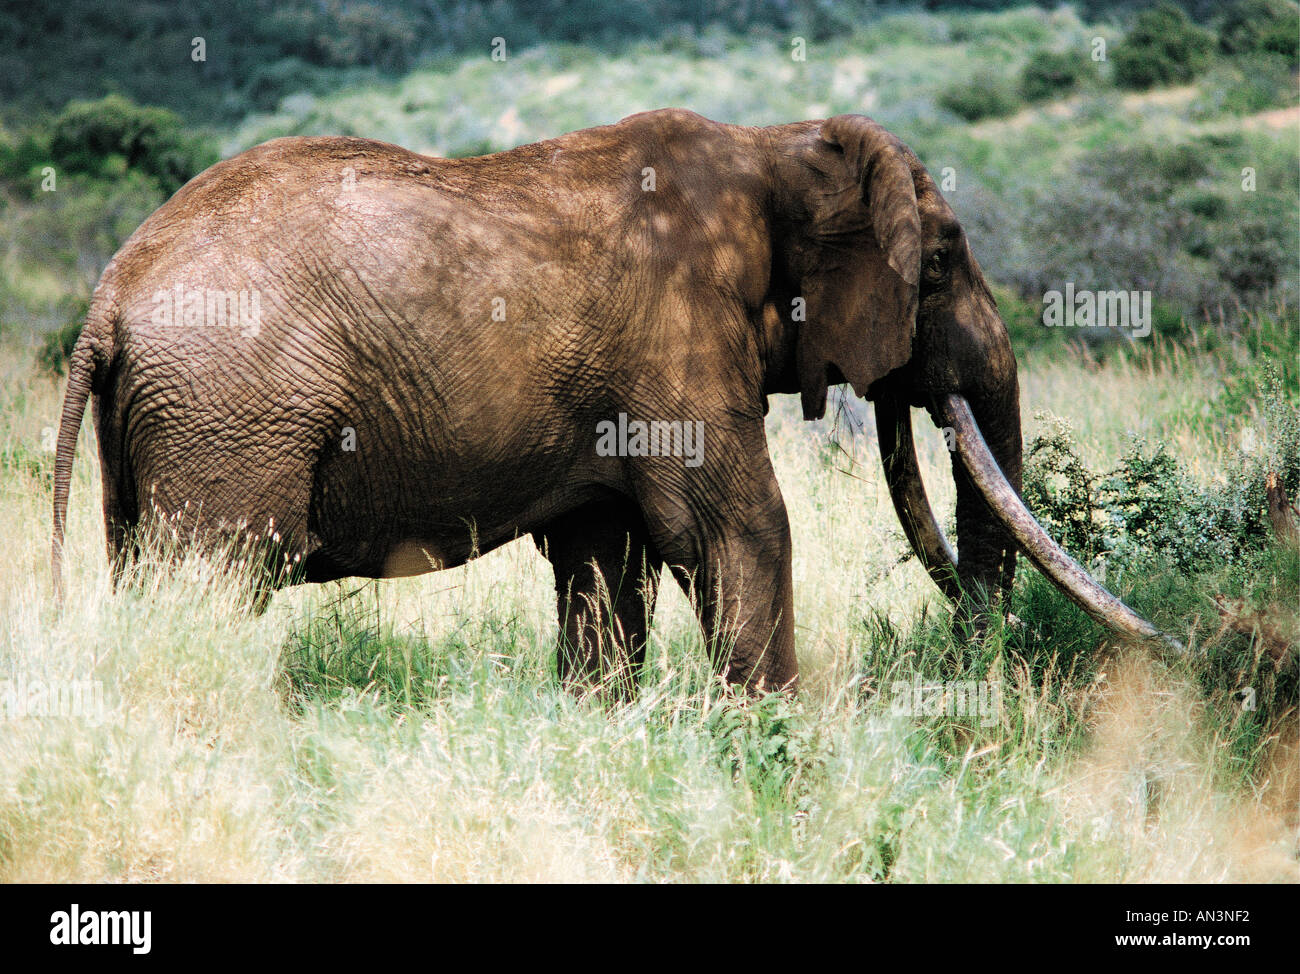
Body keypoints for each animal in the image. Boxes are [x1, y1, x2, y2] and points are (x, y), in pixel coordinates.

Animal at [52, 108, 1175, 699]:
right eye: (941, 261)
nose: (981, 658)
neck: (776, 150)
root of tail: (109, 291)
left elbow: (602, 553)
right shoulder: (677, 328)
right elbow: (735, 526)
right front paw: (775, 735)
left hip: (167, 418)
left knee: (147, 568)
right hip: (230, 408)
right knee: (217, 575)